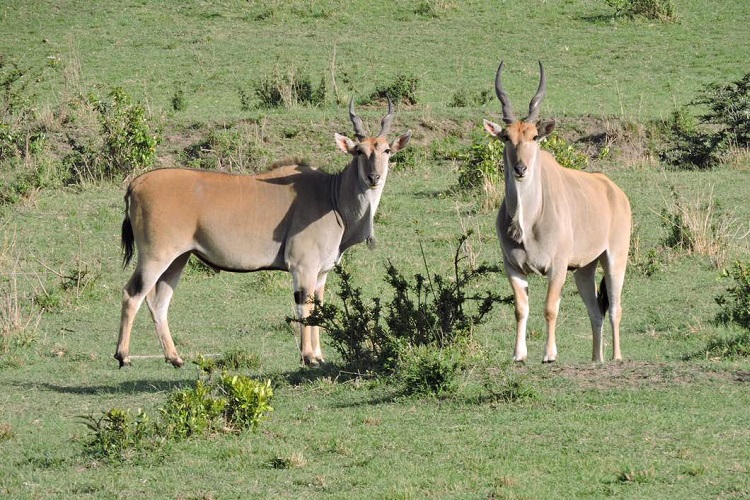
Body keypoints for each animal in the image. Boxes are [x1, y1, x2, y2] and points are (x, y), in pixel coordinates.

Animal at [114, 99, 414, 370]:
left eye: (387, 150)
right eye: (359, 152)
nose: (374, 178)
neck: (333, 197)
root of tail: (136, 183)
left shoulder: (321, 273)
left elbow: (317, 309)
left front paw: (319, 356)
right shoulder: (303, 268)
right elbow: (304, 310)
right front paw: (308, 357)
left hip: (179, 258)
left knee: (158, 302)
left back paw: (175, 358)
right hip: (156, 256)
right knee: (132, 294)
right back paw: (123, 356)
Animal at [484, 61, 632, 364]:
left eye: (534, 136)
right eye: (506, 137)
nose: (520, 168)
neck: (527, 223)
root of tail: (615, 192)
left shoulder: (558, 266)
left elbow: (550, 308)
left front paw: (549, 354)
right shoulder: (513, 267)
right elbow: (521, 309)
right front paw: (518, 354)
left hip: (615, 258)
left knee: (614, 308)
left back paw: (616, 358)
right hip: (584, 269)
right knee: (595, 312)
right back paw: (596, 359)